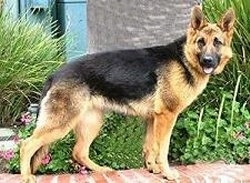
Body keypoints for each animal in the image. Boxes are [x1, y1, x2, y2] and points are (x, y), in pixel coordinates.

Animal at [20, 5, 235, 182]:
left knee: (78, 151)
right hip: (61, 124)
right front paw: (167, 173)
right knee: (26, 144)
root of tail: (55, 74)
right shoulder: (166, 117)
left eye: (217, 42)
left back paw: (101, 170)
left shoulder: (153, 119)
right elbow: (162, 149)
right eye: (201, 42)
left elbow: (150, 147)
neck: (184, 59)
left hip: (92, 123)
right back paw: (26, 176)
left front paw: (153, 169)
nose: (208, 61)